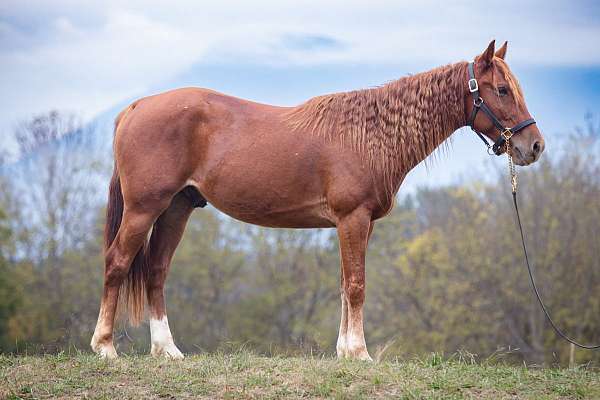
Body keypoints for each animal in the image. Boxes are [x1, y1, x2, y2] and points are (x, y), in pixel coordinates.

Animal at [91, 39, 548, 360]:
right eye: (502, 90)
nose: (534, 146)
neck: (370, 134)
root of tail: (136, 107)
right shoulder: (352, 219)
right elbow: (357, 285)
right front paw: (360, 353)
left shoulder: (359, 225)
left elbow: (345, 285)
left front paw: (345, 351)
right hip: (145, 208)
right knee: (117, 263)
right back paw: (106, 347)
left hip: (176, 209)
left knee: (156, 271)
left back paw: (167, 350)